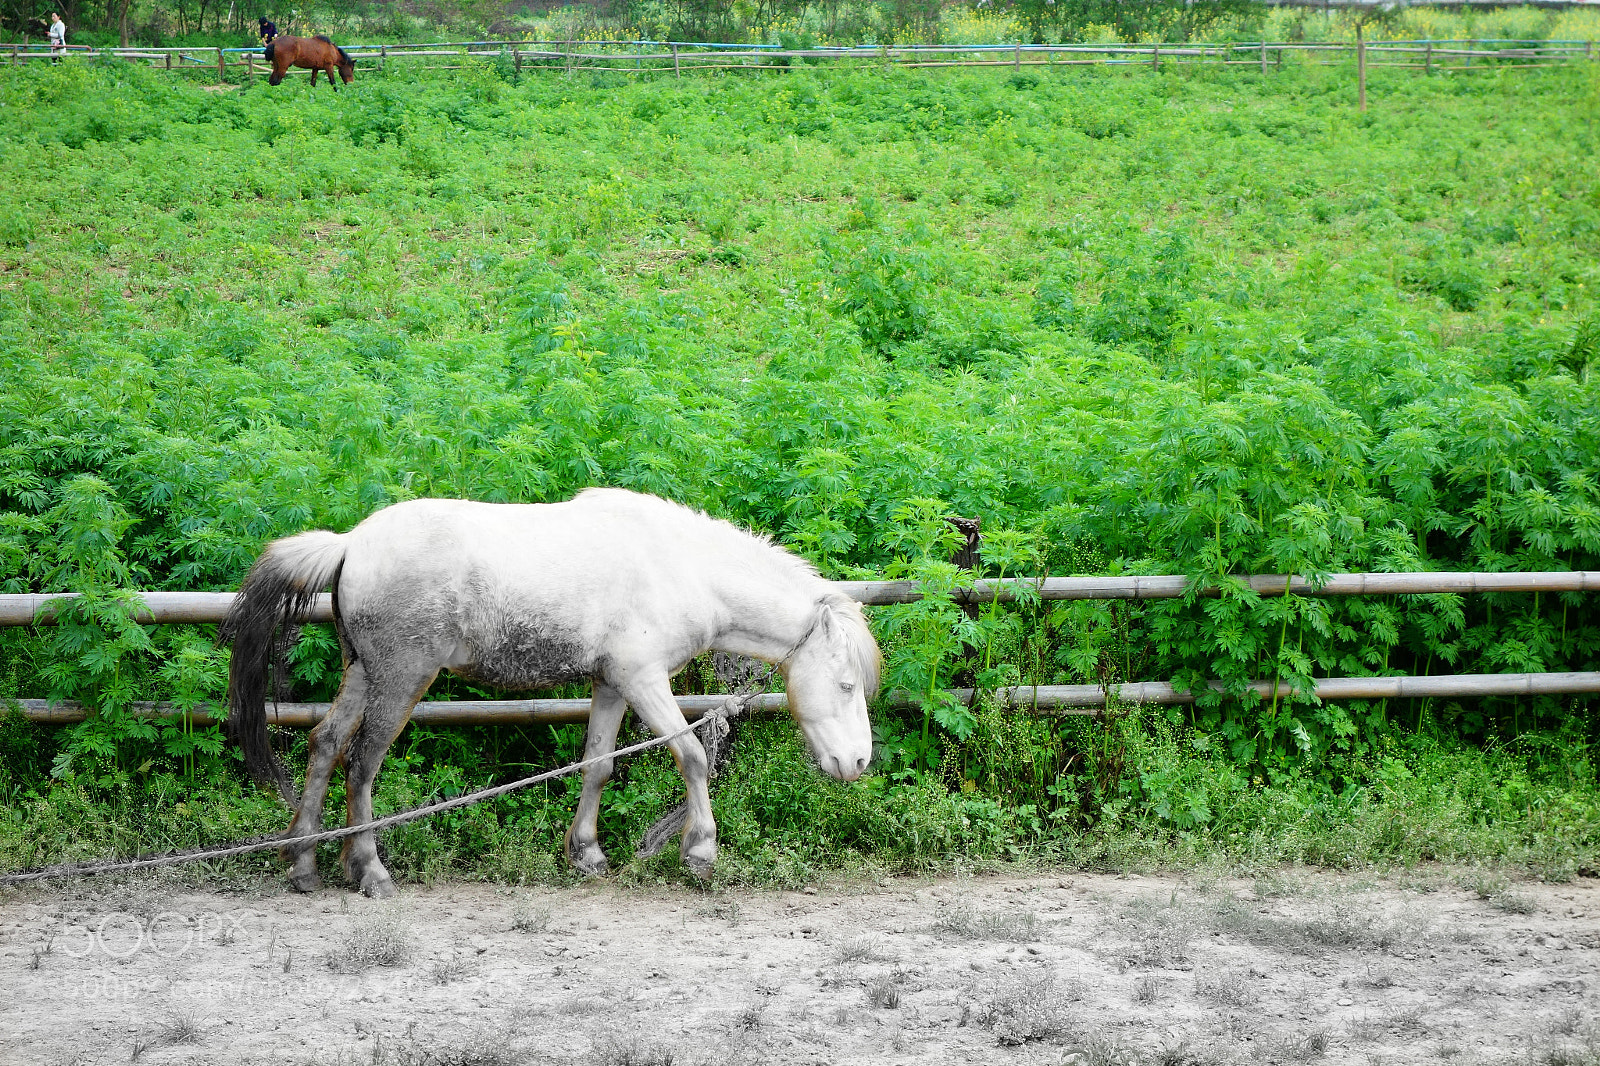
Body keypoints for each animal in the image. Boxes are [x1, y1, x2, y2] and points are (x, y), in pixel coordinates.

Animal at [223, 488, 880, 898]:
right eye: (846, 684)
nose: (856, 762)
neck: (682, 566)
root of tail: (351, 543)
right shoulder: (644, 680)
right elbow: (692, 755)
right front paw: (700, 852)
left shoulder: (611, 684)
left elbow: (597, 765)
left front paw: (586, 853)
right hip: (401, 680)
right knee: (362, 764)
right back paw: (370, 871)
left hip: (363, 673)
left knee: (326, 745)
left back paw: (304, 864)